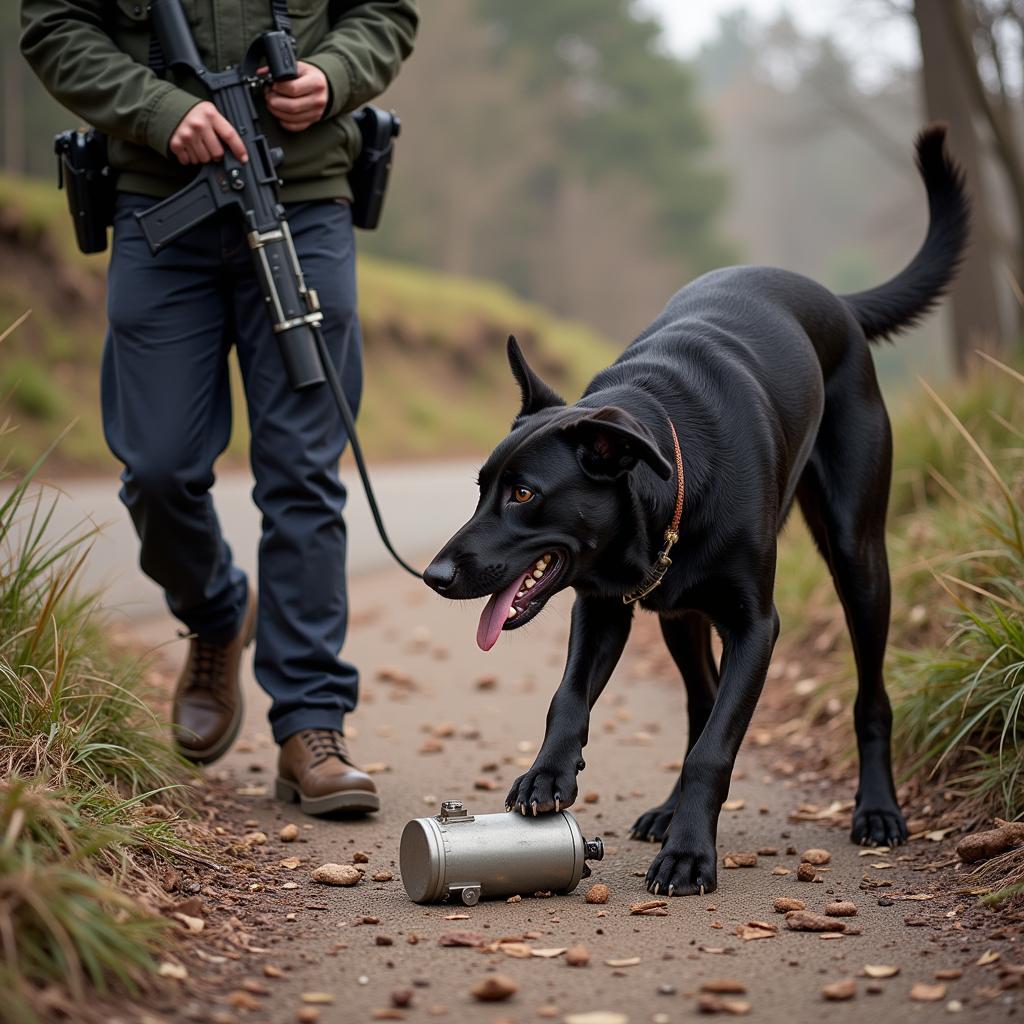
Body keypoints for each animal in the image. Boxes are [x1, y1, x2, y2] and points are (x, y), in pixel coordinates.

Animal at [421, 125, 966, 897]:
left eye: (524, 494)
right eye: (479, 489)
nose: (434, 576)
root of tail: (835, 300)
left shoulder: (756, 626)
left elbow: (716, 747)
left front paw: (688, 856)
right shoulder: (604, 606)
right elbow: (571, 698)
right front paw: (548, 774)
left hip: (858, 558)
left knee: (867, 696)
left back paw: (877, 810)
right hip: (678, 615)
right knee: (701, 699)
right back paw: (668, 807)